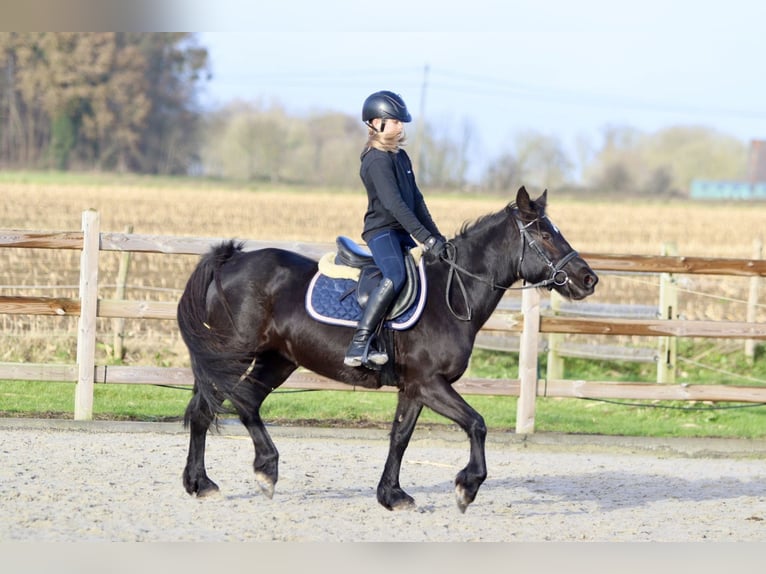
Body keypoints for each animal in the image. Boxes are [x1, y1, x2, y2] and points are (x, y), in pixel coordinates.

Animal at [178, 188, 600, 512]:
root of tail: (231, 259)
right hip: (233, 355)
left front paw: (392, 495)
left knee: (232, 403)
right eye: (544, 235)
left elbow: (400, 437)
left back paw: (215, 480)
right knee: (222, 405)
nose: (588, 279)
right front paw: (466, 487)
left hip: (276, 360)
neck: (451, 295)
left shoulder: (414, 388)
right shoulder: (430, 383)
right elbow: (477, 424)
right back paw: (249, 472)